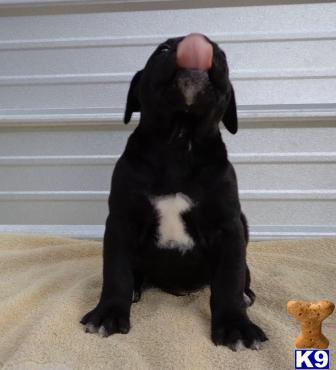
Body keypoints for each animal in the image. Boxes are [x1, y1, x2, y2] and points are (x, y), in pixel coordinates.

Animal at [81, 33, 268, 352]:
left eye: (222, 54)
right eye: (163, 50)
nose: (199, 44)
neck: (179, 143)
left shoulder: (229, 228)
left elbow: (229, 280)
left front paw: (236, 325)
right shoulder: (121, 223)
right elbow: (116, 272)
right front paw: (109, 313)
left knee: (240, 277)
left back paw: (246, 296)